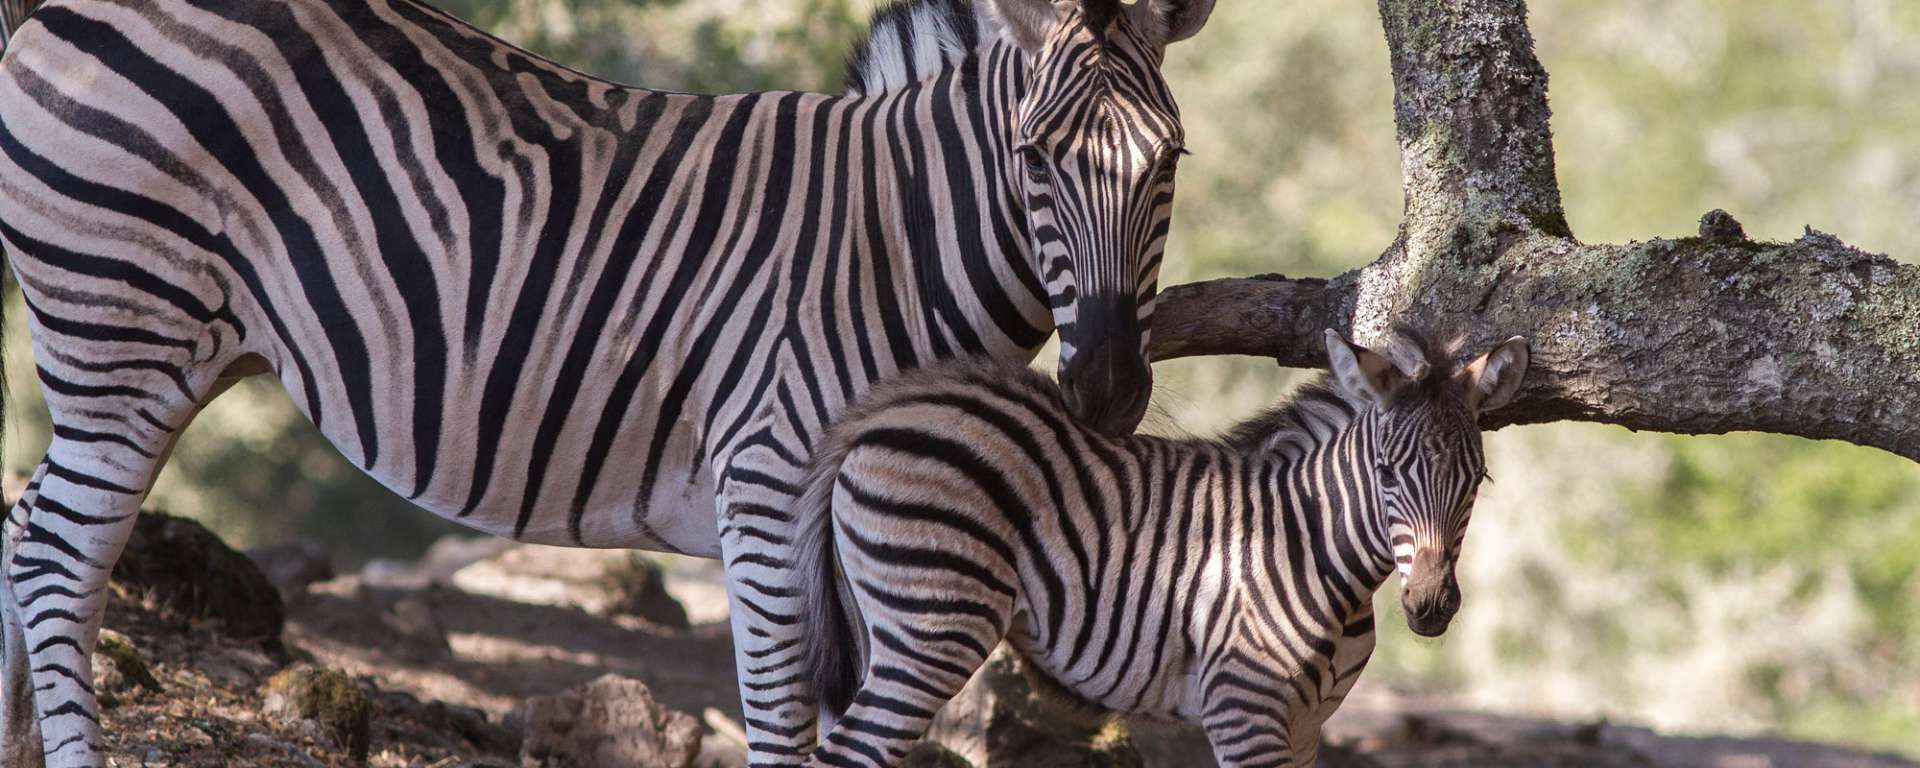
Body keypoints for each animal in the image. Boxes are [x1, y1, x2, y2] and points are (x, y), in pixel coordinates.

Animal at [0, 0, 1218, 763]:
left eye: (1171, 162)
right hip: (124, 337)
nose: (1108, 389)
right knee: (62, 554)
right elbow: (785, 723)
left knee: (26, 529)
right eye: (1035, 158)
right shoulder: (769, 481)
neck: (892, 239)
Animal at [794, 327, 1531, 767]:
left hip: (879, 626)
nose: (1430, 606)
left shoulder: (1308, 726)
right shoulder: (1244, 708)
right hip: (933, 628)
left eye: (1477, 481)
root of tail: (881, 412)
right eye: (1384, 474)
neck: (1313, 544)